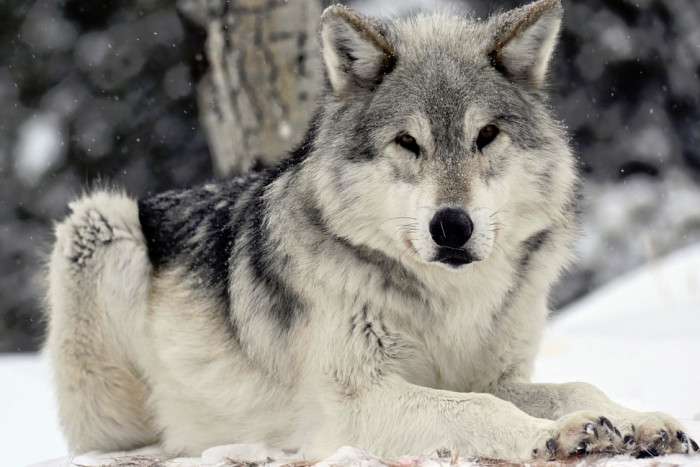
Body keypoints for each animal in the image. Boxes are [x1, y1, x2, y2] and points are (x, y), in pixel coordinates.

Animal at [45, 0, 698, 461]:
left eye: (486, 135)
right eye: (408, 142)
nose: (451, 226)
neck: (451, 305)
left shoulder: (493, 374)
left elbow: (576, 387)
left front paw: (641, 422)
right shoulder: (353, 404)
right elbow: (476, 409)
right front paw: (554, 436)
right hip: (98, 223)